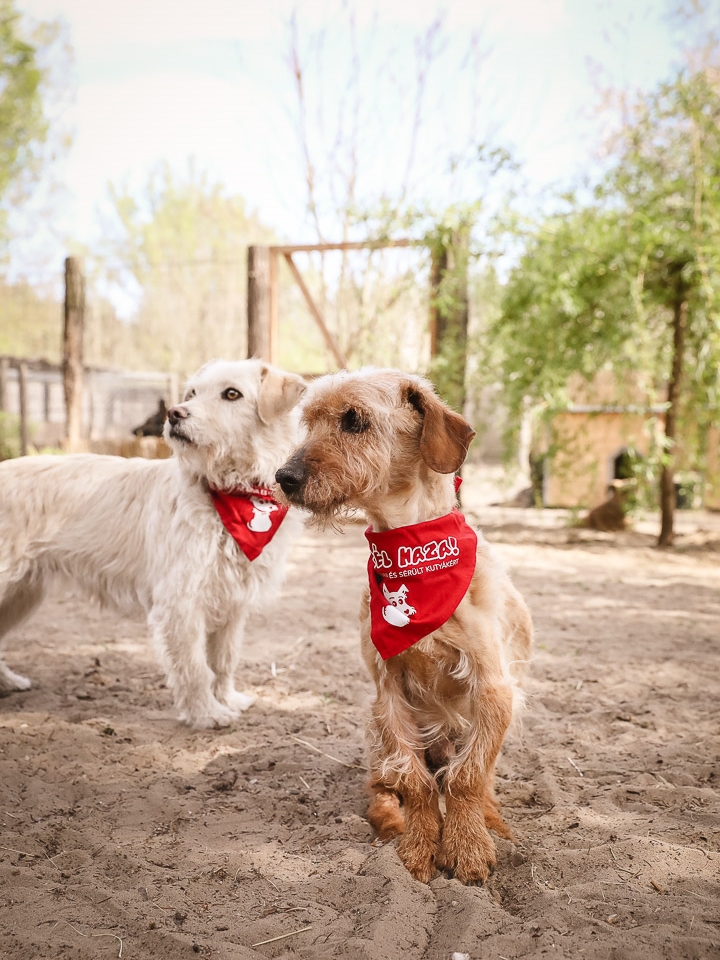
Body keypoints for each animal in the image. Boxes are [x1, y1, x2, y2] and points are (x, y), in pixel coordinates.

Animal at [0, 359, 306, 728]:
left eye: (232, 394)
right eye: (192, 393)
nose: (175, 413)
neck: (230, 491)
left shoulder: (233, 602)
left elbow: (224, 660)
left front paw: (227, 699)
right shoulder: (181, 601)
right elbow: (195, 667)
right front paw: (206, 713)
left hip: (21, 594)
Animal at [275, 368, 532, 884]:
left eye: (354, 419)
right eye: (309, 422)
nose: (283, 477)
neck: (408, 547)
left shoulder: (493, 688)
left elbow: (466, 779)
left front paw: (468, 846)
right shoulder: (387, 693)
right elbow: (415, 784)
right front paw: (418, 848)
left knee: (475, 780)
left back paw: (492, 820)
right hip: (374, 733)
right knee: (385, 786)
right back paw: (393, 824)